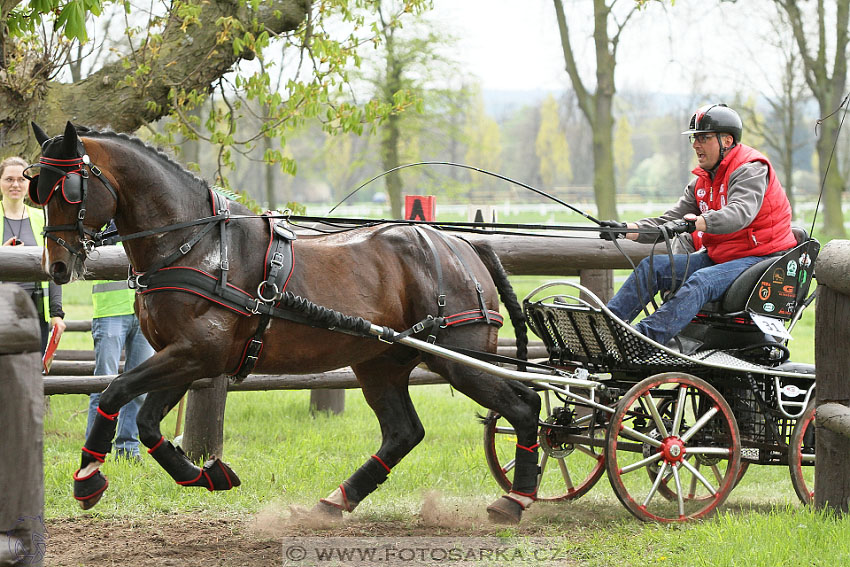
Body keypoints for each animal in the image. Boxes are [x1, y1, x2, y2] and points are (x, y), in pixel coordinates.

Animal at [29, 122, 540, 524]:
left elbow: (115, 392)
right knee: (404, 432)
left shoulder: (195, 354)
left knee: (525, 405)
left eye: (68, 189)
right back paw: (334, 502)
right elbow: (150, 423)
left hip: (460, 360)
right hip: (382, 364)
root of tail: (464, 245)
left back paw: (517, 498)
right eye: (38, 192)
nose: (57, 267)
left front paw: (87, 478)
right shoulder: (184, 357)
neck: (194, 245)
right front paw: (206, 474)